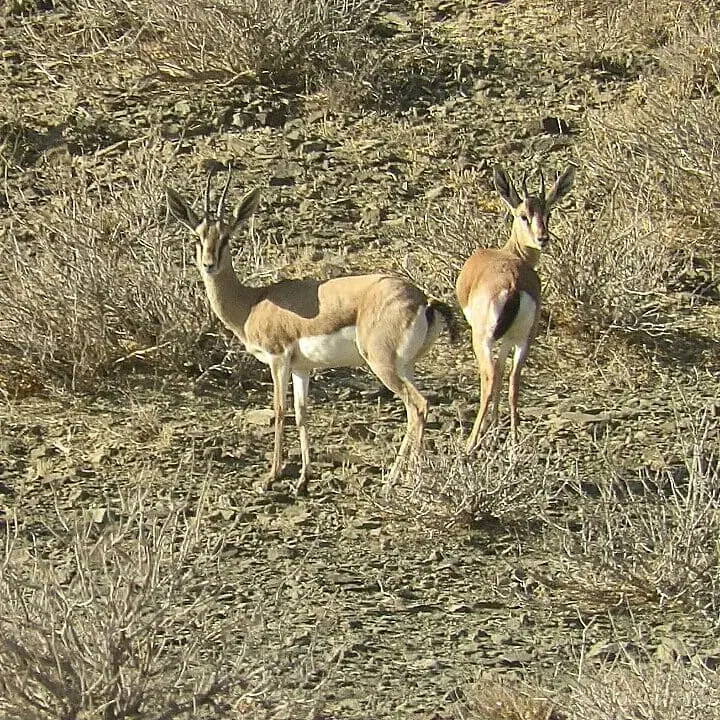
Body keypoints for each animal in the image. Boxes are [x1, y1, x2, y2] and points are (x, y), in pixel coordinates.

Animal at [167, 164, 456, 495]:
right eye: (197, 237)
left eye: (227, 237)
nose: (209, 264)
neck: (253, 303)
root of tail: (422, 299)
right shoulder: (301, 368)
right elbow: (302, 412)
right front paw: (303, 478)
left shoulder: (277, 359)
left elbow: (280, 409)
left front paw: (271, 476)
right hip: (405, 366)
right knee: (420, 406)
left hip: (382, 365)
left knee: (417, 406)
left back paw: (400, 480)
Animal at [456, 165, 574, 452]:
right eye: (524, 215)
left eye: (548, 212)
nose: (542, 238)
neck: (512, 254)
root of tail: (512, 284)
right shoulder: (509, 339)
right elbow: (502, 373)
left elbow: (493, 376)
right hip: (523, 339)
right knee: (513, 380)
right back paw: (514, 439)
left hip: (483, 339)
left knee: (488, 380)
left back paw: (471, 443)